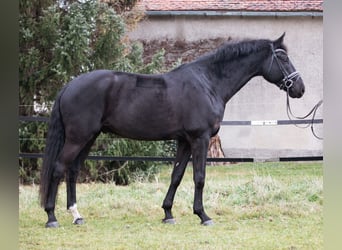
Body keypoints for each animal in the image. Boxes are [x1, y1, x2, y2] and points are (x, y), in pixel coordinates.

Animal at [39, 33, 304, 229]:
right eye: (283, 58)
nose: (299, 88)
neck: (208, 82)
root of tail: (69, 85)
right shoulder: (200, 139)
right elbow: (199, 177)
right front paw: (203, 216)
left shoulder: (184, 141)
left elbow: (176, 176)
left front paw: (168, 213)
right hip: (78, 138)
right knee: (59, 168)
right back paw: (51, 217)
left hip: (89, 138)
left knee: (72, 171)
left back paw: (76, 215)